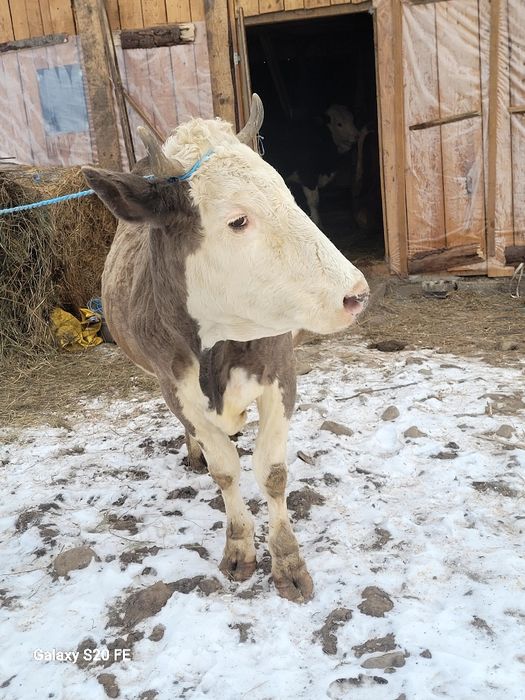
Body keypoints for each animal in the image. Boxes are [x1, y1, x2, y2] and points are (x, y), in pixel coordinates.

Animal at [82, 95, 369, 603]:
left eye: (288, 196)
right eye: (238, 220)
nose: (355, 294)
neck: (216, 341)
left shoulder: (280, 375)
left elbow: (271, 473)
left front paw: (287, 560)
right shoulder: (174, 386)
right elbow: (226, 471)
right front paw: (239, 548)